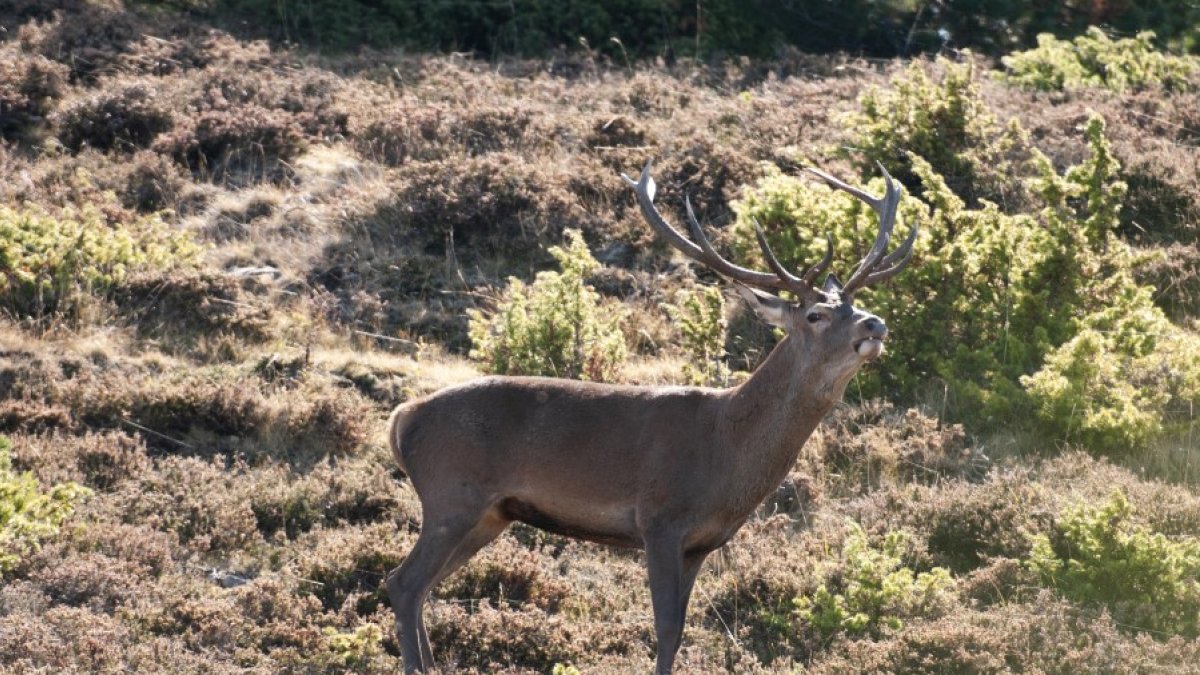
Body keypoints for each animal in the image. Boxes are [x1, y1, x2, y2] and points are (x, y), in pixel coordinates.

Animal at [385, 159, 917, 674]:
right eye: (815, 316)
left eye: (856, 305)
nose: (875, 325)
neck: (728, 453)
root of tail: (401, 419)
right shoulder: (659, 519)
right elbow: (664, 628)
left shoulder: (701, 544)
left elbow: (680, 630)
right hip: (451, 495)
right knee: (404, 583)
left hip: (489, 515)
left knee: (419, 585)